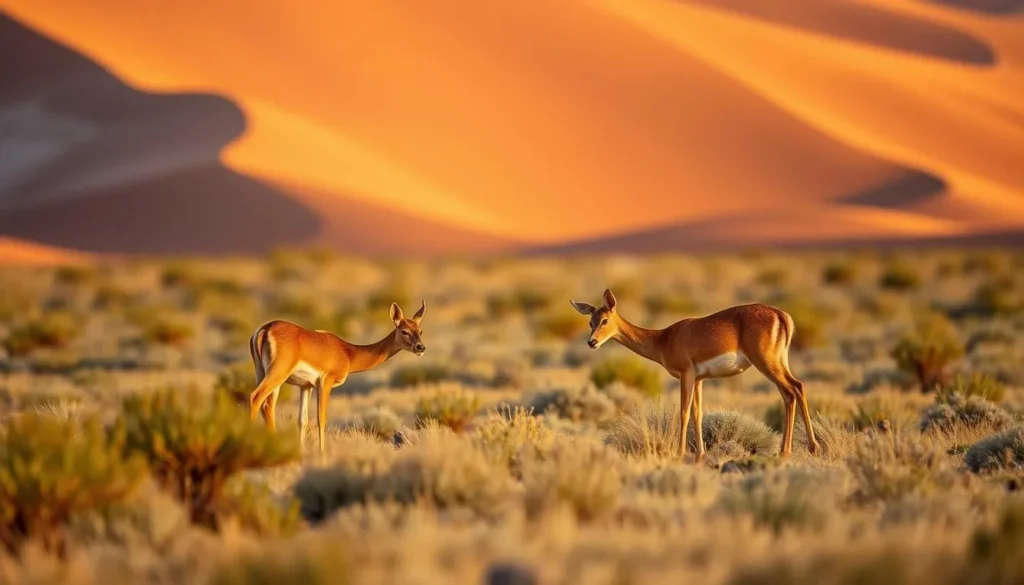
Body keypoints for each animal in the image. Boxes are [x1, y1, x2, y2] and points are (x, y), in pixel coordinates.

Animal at [247, 301, 426, 453]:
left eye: (420, 331)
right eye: (404, 331)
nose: (420, 347)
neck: (348, 353)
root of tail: (266, 328)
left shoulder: (306, 386)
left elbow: (302, 420)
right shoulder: (325, 383)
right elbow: (321, 418)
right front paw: (322, 453)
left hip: (263, 374)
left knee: (267, 407)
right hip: (277, 376)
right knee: (256, 398)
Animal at [570, 289, 818, 462]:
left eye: (605, 320)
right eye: (590, 321)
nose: (592, 342)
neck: (664, 339)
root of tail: (782, 315)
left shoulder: (686, 375)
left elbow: (684, 412)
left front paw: (680, 453)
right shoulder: (699, 380)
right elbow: (698, 413)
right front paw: (700, 455)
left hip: (766, 364)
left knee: (797, 387)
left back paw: (810, 448)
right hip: (777, 363)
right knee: (789, 394)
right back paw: (784, 452)